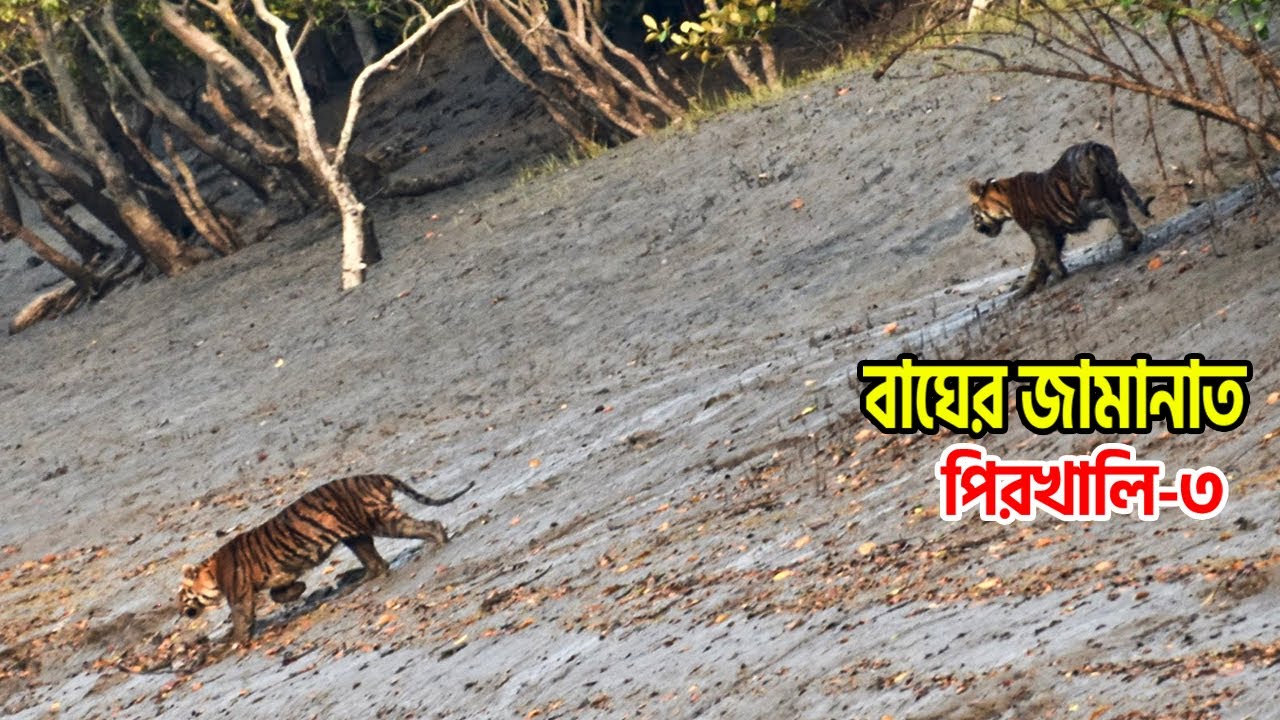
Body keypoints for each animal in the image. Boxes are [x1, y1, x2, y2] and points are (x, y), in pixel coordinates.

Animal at [178, 474, 474, 645]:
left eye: (181, 596)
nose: (182, 613)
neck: (212, 572)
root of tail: (374, 476)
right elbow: (278, 593)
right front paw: (299, 590)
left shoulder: (239, 596)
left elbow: (241, 620)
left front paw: (234, 644)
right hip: (356, 536)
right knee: (376, 563)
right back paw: (357, 582)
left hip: (379, 520)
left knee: (426, 526)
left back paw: (440, 542)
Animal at [967, 141, 1153, 296]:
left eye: (974, 213)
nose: (976, 229)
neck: (1005, 204)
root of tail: (1093, 145)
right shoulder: (1053, 232)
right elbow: (1039, 263)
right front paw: (1022, 292)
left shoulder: (1038, 230)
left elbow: (1047, 255)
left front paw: (1057, 278)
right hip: (1114, 191)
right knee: (1122, 212)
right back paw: (1132, 243)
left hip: (1086, 204)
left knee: (1108, 207)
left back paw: (1129, 244)